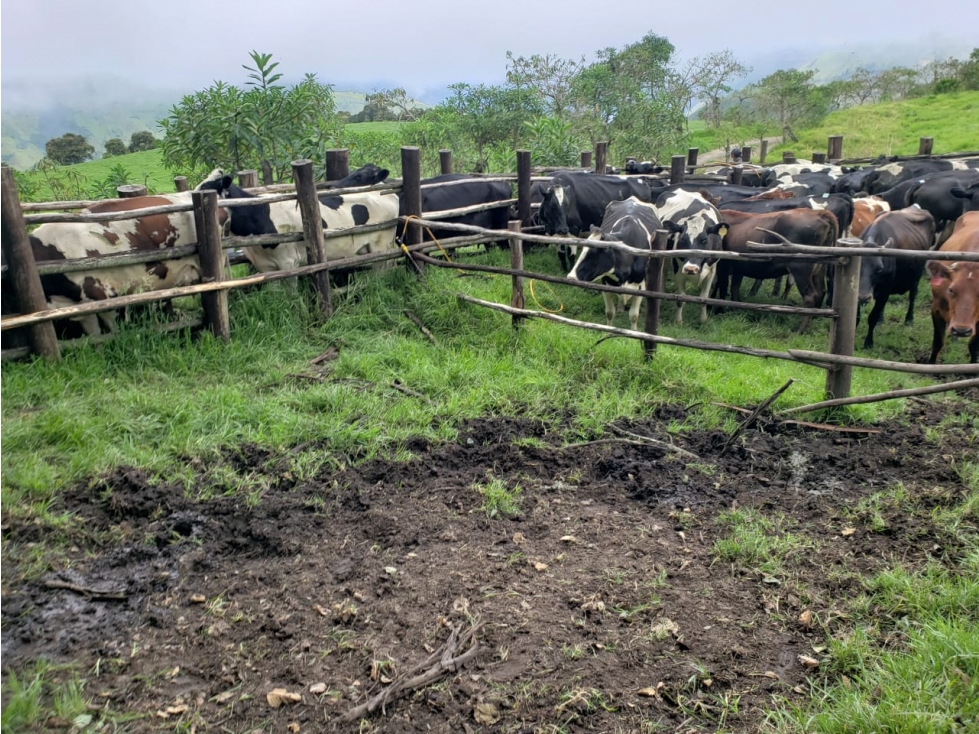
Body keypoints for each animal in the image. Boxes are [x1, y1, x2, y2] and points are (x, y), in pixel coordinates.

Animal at [564, 198, 664, 330]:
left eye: (595, 252)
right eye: (583, 248)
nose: (571, 277)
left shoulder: (641, 286)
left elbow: (634, 316)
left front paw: (634, 332)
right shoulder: (606, 284)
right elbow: (610, 312)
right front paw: (608, 331)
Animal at [656, 190, 724, 324]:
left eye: (704, 240)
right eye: (682, 239)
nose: (691, 269)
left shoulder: (712, 271)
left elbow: (704, 298)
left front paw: (703, 320)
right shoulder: (679, 271)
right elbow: (681, 298)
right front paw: (678, 321)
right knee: (661, 282)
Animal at [852, 207, 936, 350]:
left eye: (879, 269)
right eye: (857, 268)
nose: (864, 297)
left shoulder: (885, 290)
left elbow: (872, 317)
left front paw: (868, 342)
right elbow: (856, 317)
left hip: (916, 277)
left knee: (913, 296)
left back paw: (909, 320)